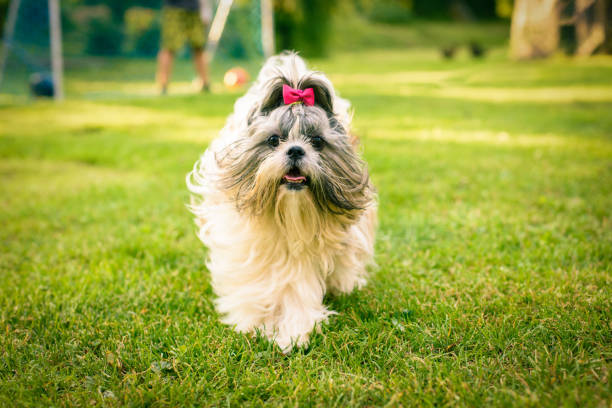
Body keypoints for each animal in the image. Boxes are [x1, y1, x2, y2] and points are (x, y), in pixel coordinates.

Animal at [186, 51, 378, 350]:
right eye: (274, 140)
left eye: (317, 141)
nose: (296, 150)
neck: (290, 217)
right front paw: (254, 322)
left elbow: (298, 291)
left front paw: (293, 333)